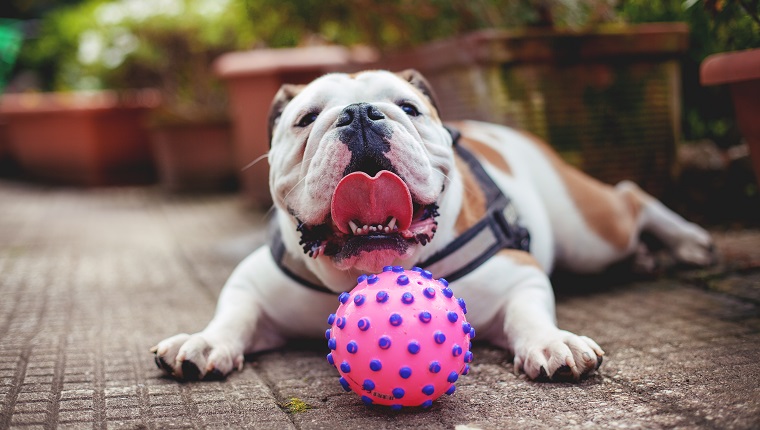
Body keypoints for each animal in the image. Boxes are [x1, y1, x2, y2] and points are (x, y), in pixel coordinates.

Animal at [151, 69, 716, 382]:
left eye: (408, 108)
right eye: (306, 119)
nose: (360, 113)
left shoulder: (519, 273)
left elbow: (529, 312)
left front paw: (554, 342)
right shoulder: (253, 284)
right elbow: (235, 314)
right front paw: (204, 342)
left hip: (589, 233)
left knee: (631, 195)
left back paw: (691, 242)